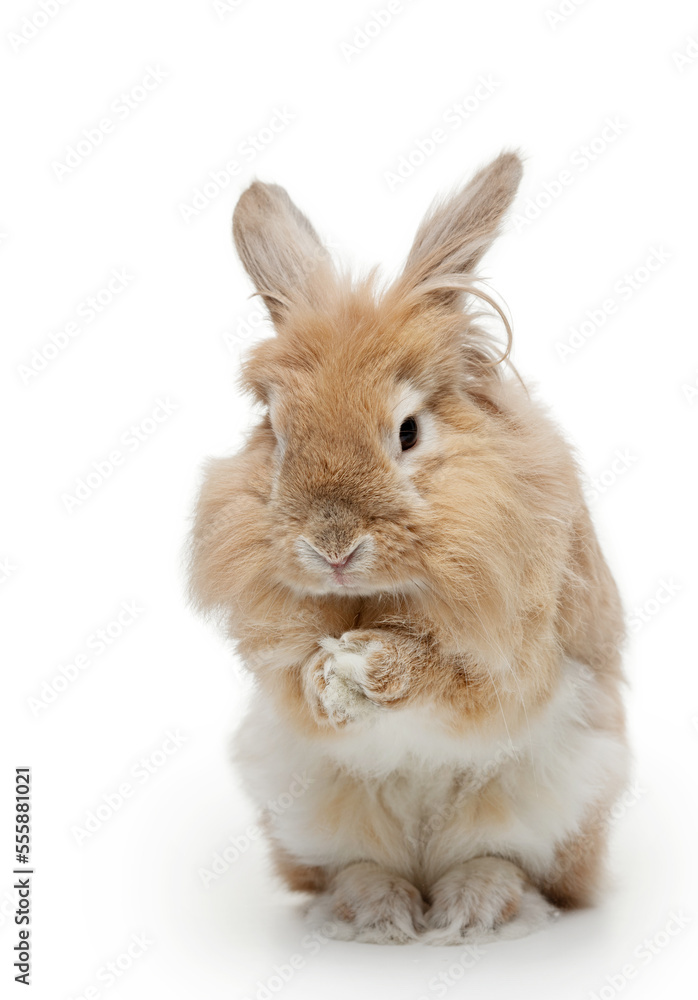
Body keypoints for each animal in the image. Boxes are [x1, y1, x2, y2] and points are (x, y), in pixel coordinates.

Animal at [188, 151, 630, 945]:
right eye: (280, 436)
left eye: (408, 432)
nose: (331, 545)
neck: (372, 596)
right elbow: (298, 687)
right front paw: (325, 678)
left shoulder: (514, 664)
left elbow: (448, 678)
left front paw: (365, 664)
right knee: (351, 869)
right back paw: (380, 913)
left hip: (562, 802)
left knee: (512, 866)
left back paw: (470, 910)